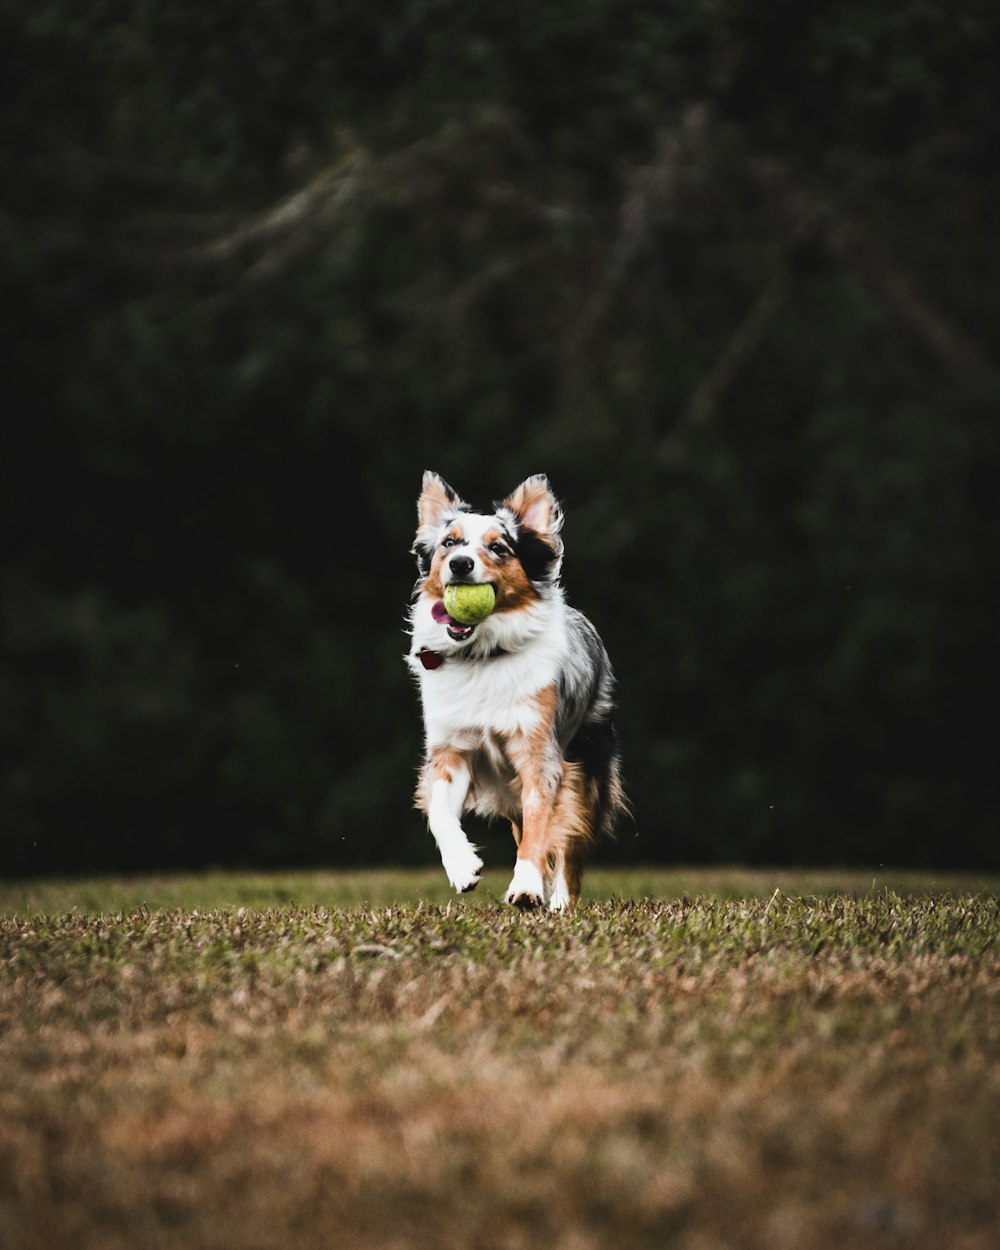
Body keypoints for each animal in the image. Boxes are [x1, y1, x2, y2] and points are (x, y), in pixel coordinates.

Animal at [402, 470, 620, 910]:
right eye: (449, 543)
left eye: (498, 547)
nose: (460, 564)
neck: (483, 655)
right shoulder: (451, 749)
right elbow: (439, 812)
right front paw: (462, 866)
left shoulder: (541, 755)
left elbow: (542, 827)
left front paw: (527, 886)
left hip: (587, 764)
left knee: (569, 842)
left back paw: (560, 902)